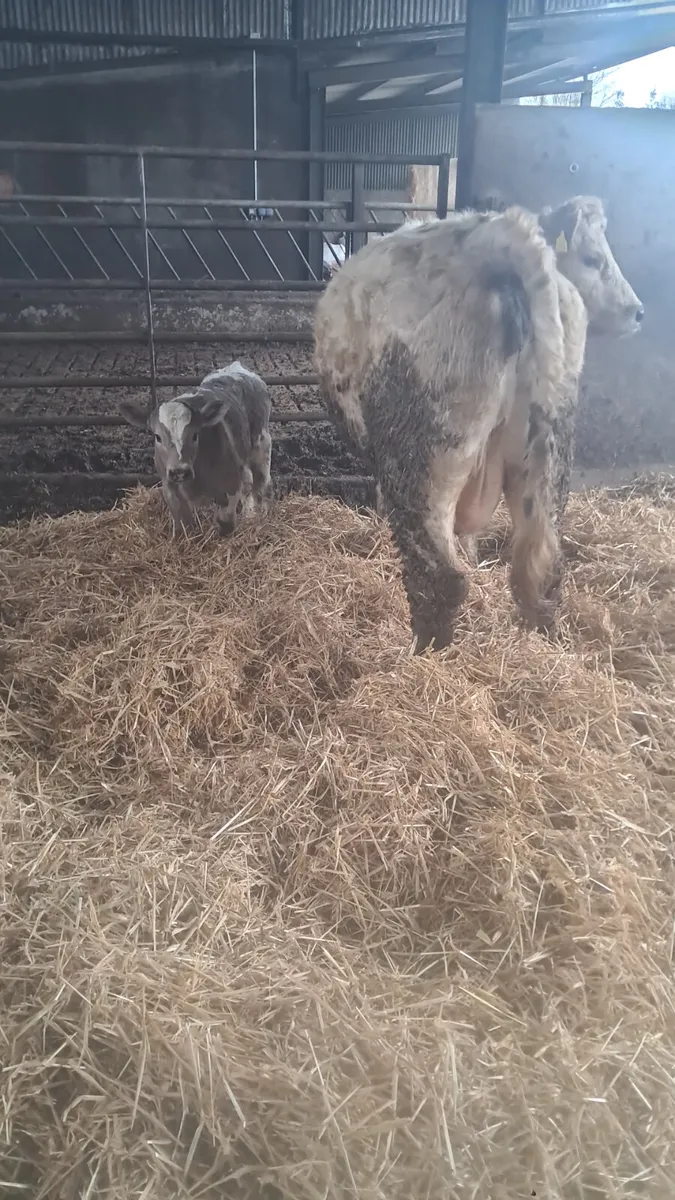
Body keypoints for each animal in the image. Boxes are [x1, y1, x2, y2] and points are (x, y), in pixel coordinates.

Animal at [120, 362, 272, 537]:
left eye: (195, 435)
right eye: (157, 437)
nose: (180, 471)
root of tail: (237, 367)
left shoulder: (231, 485)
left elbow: (225, 522)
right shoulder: (170, 489)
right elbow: (183, 527)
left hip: (261, 447)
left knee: (261, 486)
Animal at [315, 196, 643, 651]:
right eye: (593, 258)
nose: (637, 312)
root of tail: (501, 240)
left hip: (421, 460)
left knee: (441, 578)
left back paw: (423, 653)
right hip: (548, 452)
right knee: (542, 571)